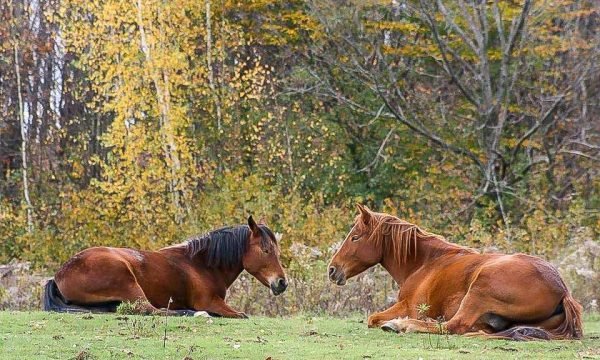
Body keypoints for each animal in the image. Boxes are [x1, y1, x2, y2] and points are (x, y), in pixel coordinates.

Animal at [43, 215, 288, 316]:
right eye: (266, 250)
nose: (282, 283)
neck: (200, 265)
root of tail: (59, 275)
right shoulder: (210, 301)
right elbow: (240, 315)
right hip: (129, 284)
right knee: (152, 311)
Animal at [328, 205, 580, 340]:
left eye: (355, 237)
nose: (332, 269)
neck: (425, 262)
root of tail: (563, 291)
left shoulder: (409, 306)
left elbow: (372, 318)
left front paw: (397, 322)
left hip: (478, 290)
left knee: (455, 326)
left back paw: (402, 325)